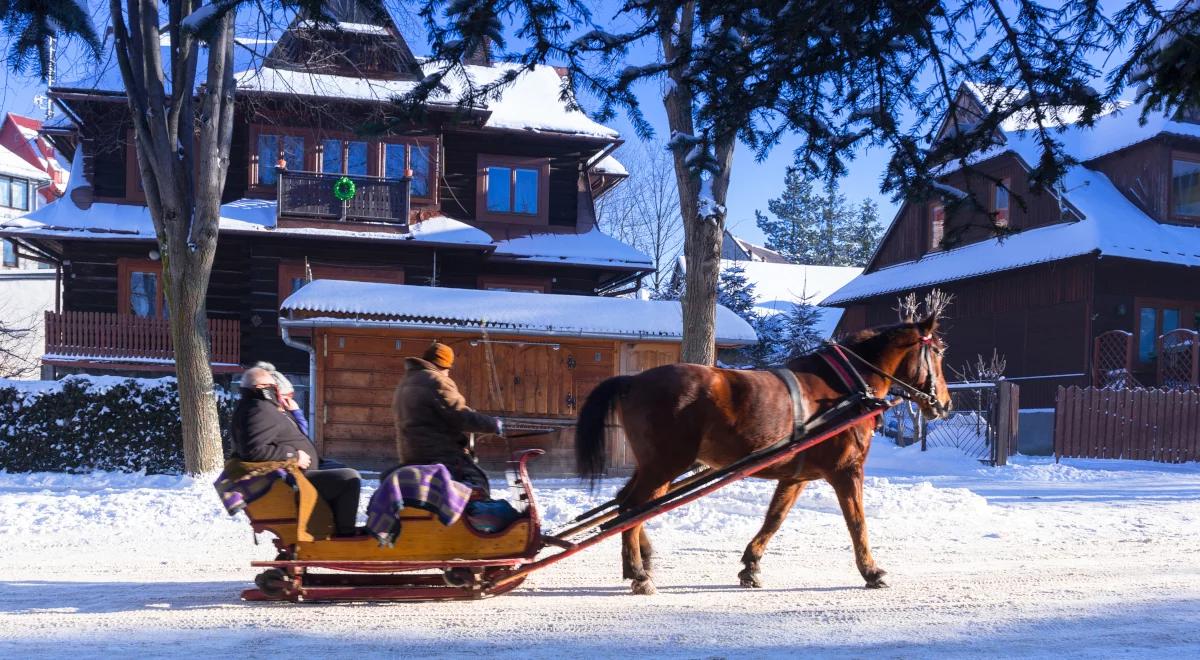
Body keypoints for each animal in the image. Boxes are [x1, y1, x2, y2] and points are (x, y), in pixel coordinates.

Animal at [576, 312, 950, 597]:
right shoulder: (847, 469)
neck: (844, 388)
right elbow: (857, 522)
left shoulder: (796, 476)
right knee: (631, 508)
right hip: (665, 465)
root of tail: (632, 381)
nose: (944, 404)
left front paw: (751, 565)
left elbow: (775, 518)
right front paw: (871, 571)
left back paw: (644, 559)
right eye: (938, 352)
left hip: (656, 466)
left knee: (627, 504)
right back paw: (639, 573)